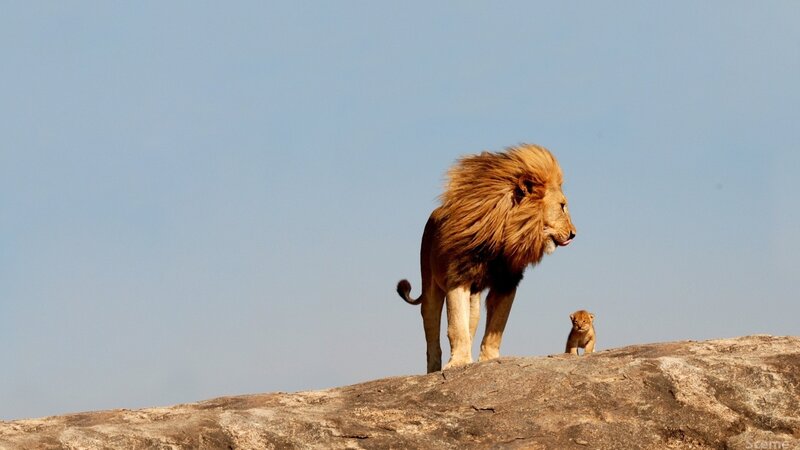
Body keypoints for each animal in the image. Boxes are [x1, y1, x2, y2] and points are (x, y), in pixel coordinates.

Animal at [396, 144, 576, 373]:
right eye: (562, 206)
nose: (574, 234)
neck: (503, 235)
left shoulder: (507, 282)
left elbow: (496, 327)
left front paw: (488, 360)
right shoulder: (458, 277)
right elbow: (456, 326)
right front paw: (458, 362)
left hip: (474, 300)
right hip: (430, 287)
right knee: (432, 333)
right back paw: (434, 369)